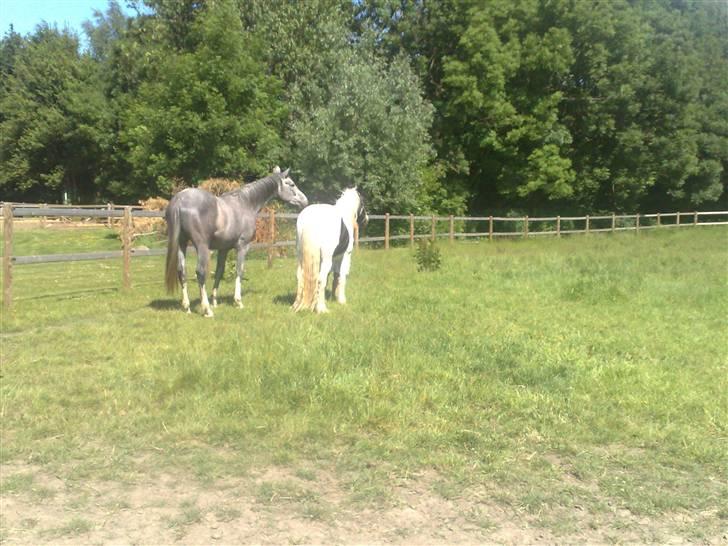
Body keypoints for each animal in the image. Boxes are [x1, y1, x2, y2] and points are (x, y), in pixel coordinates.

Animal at [165, 166, 308, 314]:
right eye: (291, 184)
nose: (305, 200)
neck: (246, 203)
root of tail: (180, 199)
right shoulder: (242, 246)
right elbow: (239, 270)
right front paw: (238, 301)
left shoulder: (223, 249)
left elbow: (219, 271)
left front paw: (215, 301)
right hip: (201, 246)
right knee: (200, 272)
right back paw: (207, 309)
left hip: (182, 244)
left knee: (182, 272)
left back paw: (187, 307)